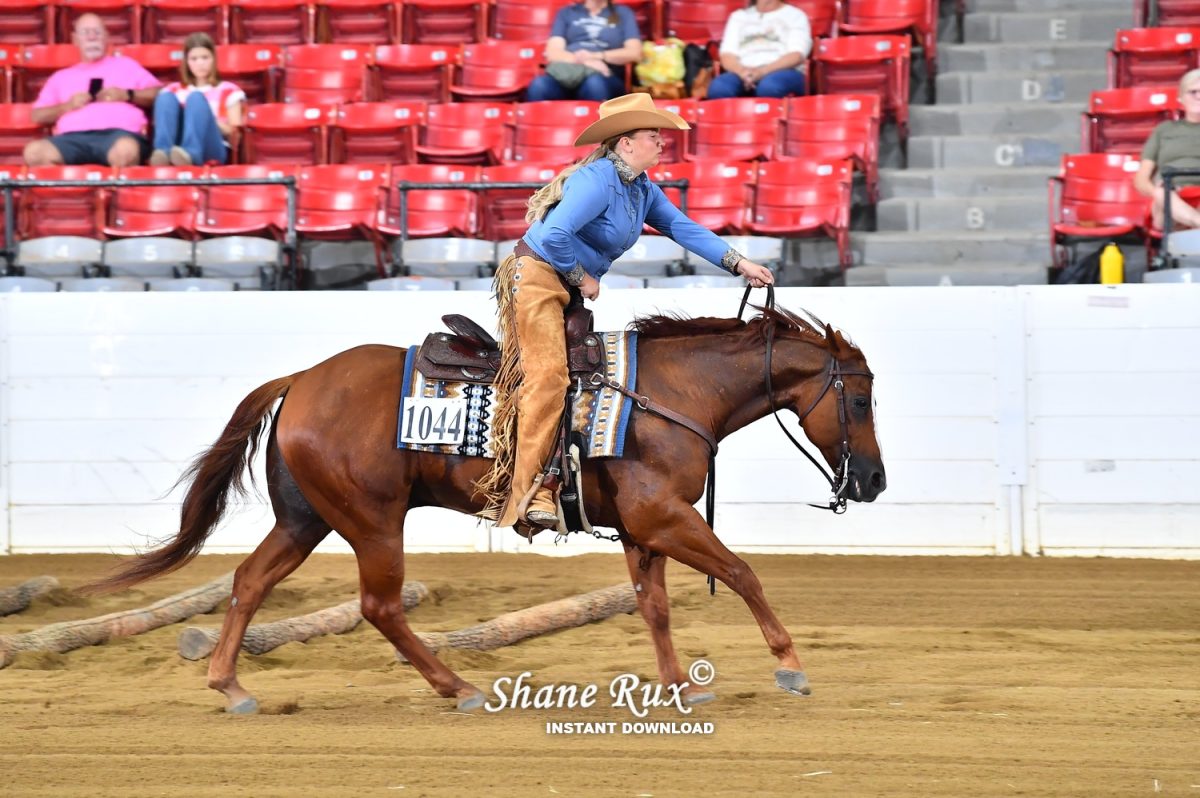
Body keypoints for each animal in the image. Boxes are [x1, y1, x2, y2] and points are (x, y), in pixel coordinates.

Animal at [86, 300, 886, 714]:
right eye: (859, 398)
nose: (874, 482)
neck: (665, 394)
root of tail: (303, 378)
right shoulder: (665, 517)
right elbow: (743, 572)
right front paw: (790, 665)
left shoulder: (643, 528)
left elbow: (653, 606)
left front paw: (675, 686)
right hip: (372, 520)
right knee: (380, 606)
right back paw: (460, 687)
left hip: (304, 519)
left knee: (250, 582)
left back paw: (230, 686)